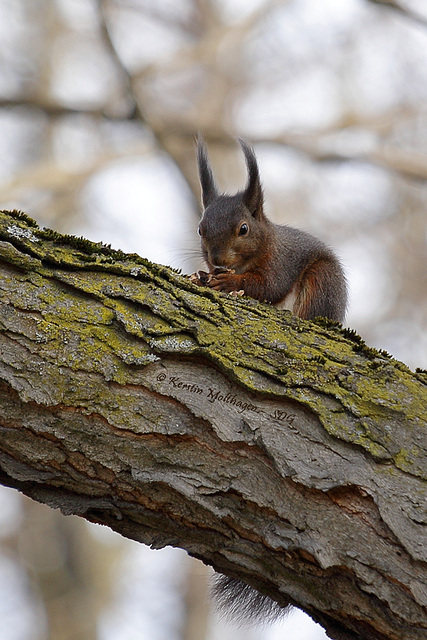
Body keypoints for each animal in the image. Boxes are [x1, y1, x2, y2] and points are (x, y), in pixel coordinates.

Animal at [196, 138, 350, 322]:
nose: (217, 259)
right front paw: (202, 277)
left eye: (244, 228)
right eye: (200, 230)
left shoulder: (279, 262)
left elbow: (270, 286)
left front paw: (230, 282)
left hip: (323, 279)